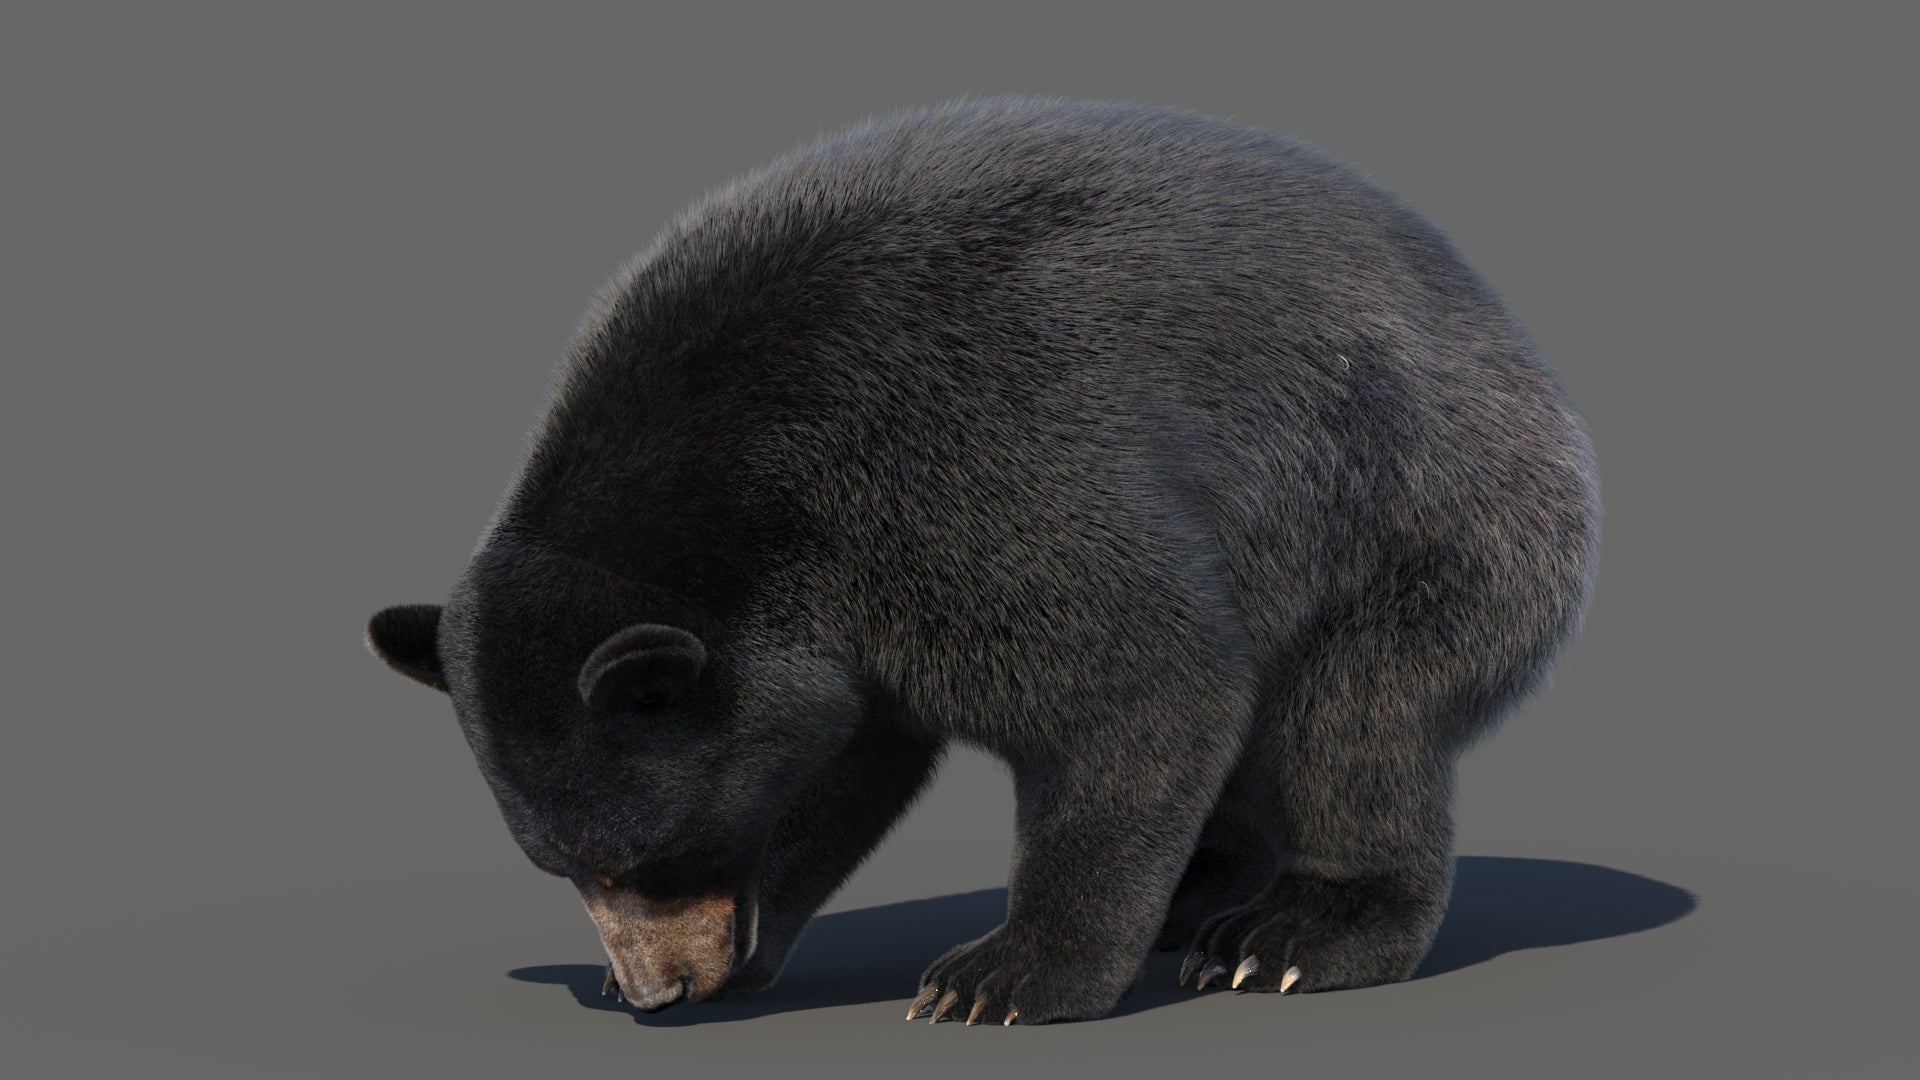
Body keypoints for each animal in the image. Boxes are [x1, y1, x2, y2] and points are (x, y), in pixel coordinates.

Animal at [366, 95, 1600, 1025]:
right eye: (562, 866)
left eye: (645, 855)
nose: (655, 992)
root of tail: (1515, 340)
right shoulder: (836, 619)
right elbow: (844, 758)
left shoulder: (967, 467)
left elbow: (1143, 680)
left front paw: (1002, 975)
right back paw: (1201, 892)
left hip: (1422, 513)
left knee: (1356, 720)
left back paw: (1290, 934)